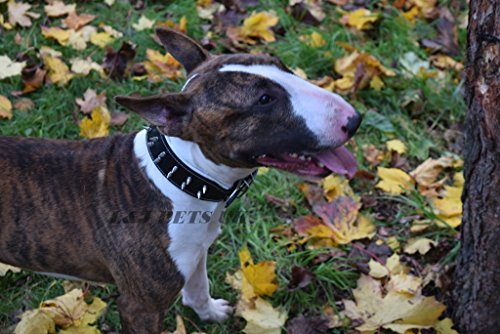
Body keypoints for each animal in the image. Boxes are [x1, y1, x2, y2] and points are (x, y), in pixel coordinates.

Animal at [0, 29, 360, 334]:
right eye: (263, 100)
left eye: (282, 66)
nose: (354, 119)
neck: (182, 178)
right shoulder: (139, 307)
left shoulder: (197, 252)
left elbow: (199, 287)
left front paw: (210, 313)